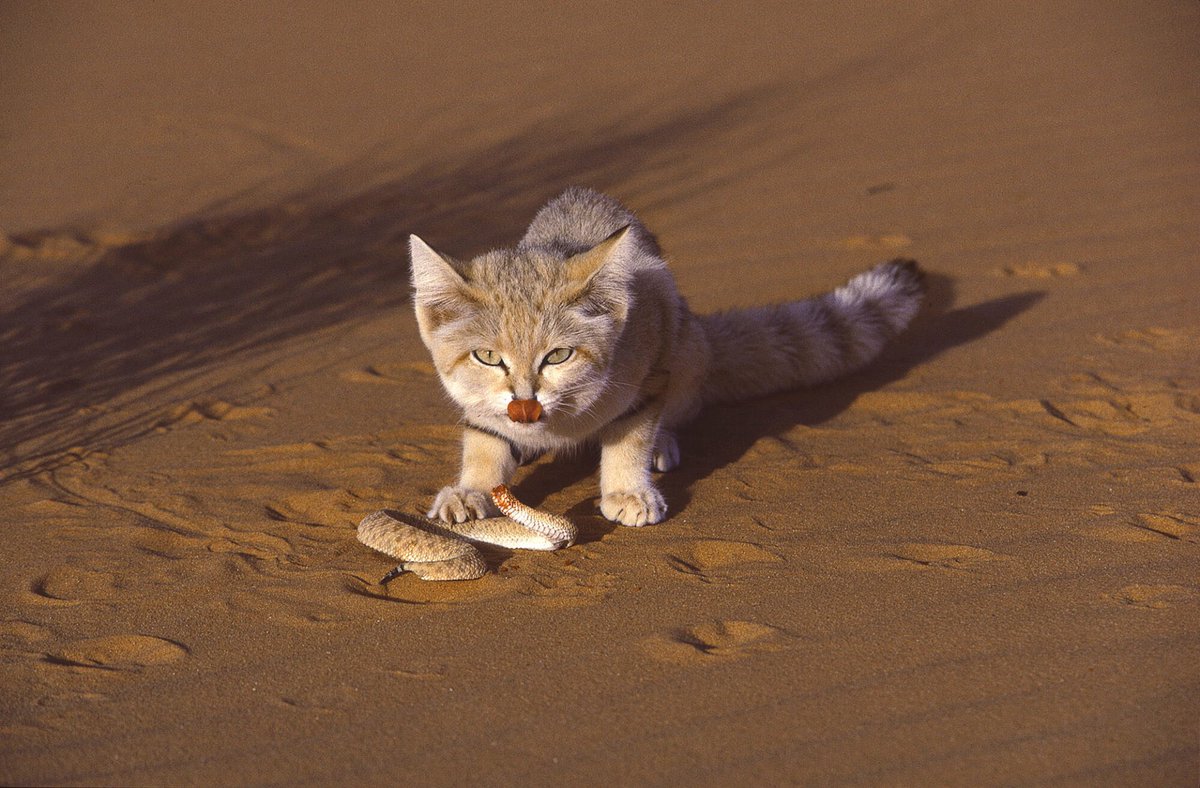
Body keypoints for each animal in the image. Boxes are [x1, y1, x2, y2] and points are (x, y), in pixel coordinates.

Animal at [408, 187, 921, 525]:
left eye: (558, 356)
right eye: (487, 357)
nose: (524, 407)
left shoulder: (648, 370)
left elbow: (629, 435)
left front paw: (627, 489)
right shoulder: (478, 406)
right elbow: (484, 442)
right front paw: (471, 490)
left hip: (686, 348)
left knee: (679, 410)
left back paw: (662, 445)